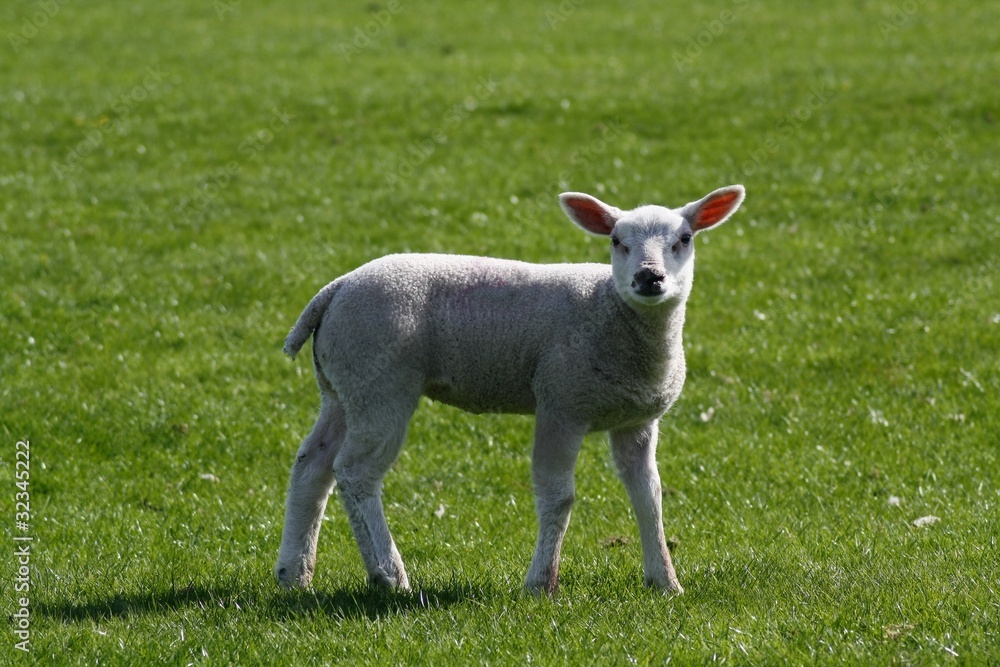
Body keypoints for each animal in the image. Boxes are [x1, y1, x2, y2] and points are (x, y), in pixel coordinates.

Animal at [274, 184, 745, 595]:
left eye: (684, 239)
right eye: (616, 241)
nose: (649, 278)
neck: (609, 309)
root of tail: (335, 289)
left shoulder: (637, 421)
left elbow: (649, 499)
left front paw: (665, 582)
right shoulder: (560, 403)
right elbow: (559, 497)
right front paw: (541, 584)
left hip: (342, 387)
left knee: (313, 464)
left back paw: (294, 574)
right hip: (380, 382)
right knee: (355, 472)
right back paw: (389, 575)